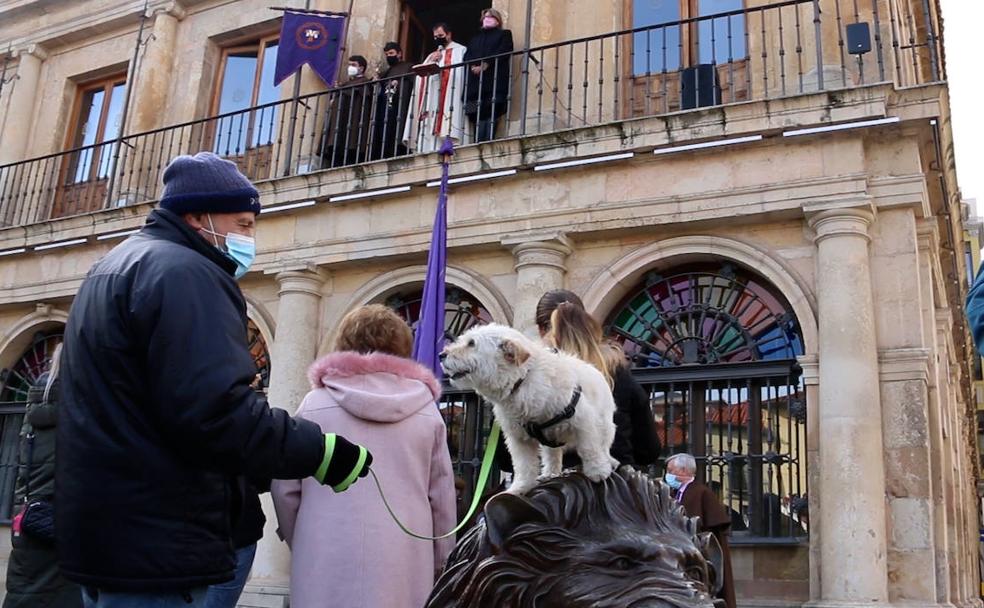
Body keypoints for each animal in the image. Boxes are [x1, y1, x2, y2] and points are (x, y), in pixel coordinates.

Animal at [444, 324, 620, 494]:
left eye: (471, 343)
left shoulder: (583, 422)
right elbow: (524, 466)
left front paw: (597, 470)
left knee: (603, 446)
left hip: (605, 426)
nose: (441, 354)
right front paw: (521, 487)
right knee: (553, 454)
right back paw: (550, 473)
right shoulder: (519, 439)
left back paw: (609, 461)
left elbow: (589, 448)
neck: (521, 380)